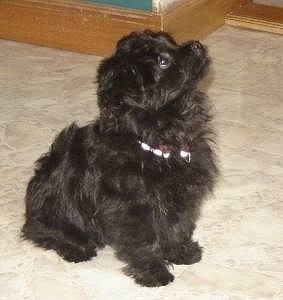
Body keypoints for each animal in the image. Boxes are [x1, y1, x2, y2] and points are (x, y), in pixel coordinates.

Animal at [22, 29, 219, 286]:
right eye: (162, 61)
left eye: (171, 42)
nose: (195, 44)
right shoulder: (132, 208)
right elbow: (146, 241)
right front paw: (153, 272)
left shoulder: (181, 197)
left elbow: (176, 227)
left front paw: (180, 252)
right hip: (55, 212)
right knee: (41, 231)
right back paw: (75, 249)